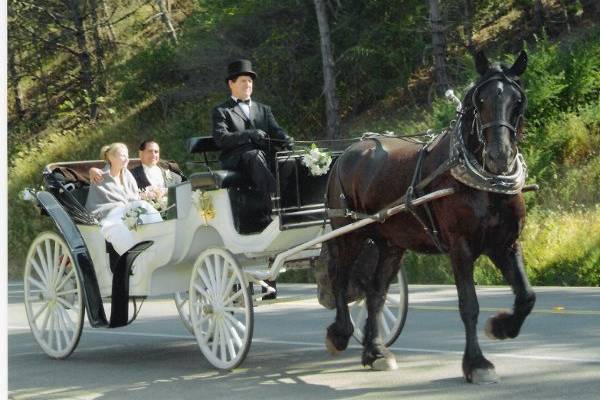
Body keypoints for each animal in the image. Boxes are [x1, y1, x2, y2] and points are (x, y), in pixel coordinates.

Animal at [324, 51, 536, 382]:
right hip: (349, 234)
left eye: (518, 100)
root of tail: (348, 152)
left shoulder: (506, 243)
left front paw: (501, 328)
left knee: (374, 292)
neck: (485, 186)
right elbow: (468, 305)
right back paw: (340, 334)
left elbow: (526, 295)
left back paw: (376, 352)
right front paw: (477, 363)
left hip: (391, 244)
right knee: (341, 279)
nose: (498, 157)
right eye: (481, 100)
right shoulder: (461, 248)